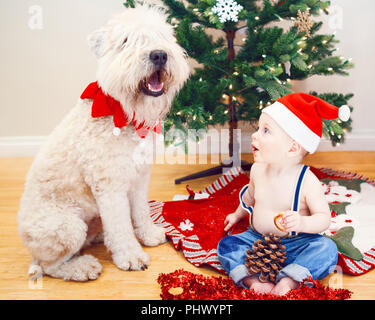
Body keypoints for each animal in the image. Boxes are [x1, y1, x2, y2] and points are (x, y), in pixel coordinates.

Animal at [16, 4, 191, 280]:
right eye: (126, 41)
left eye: (161, 36)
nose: (159, 55)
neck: (122, 114)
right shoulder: (110, 186)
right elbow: (120, 225)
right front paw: (131, 256)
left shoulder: (139, 178)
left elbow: (140, 211)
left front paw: (148, 234)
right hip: (67, 227)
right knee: (49, 266)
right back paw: (83, 267)